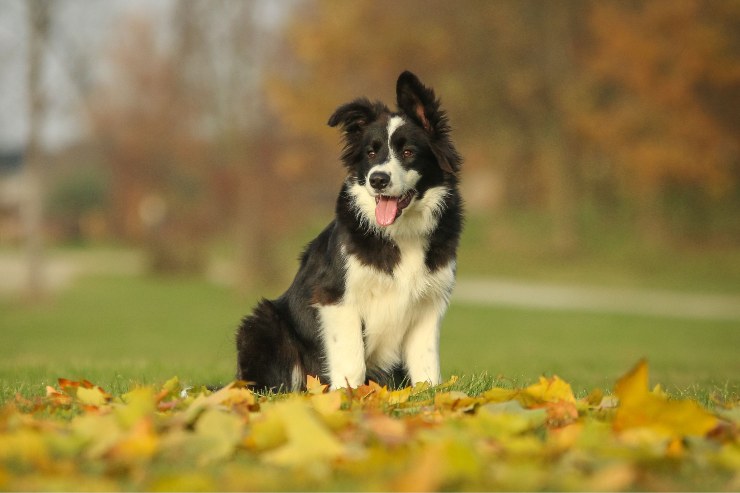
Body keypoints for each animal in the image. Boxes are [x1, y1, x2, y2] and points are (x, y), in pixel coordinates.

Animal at [236, 71, 462, 390]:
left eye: (408, 152)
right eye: (371, 152)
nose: (378, 179)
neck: (399, 233)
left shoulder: (429, 304)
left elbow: (426, 364)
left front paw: (431, 395)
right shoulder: (335, 298)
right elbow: (351, 360)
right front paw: (347, 396)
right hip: (261, 323)